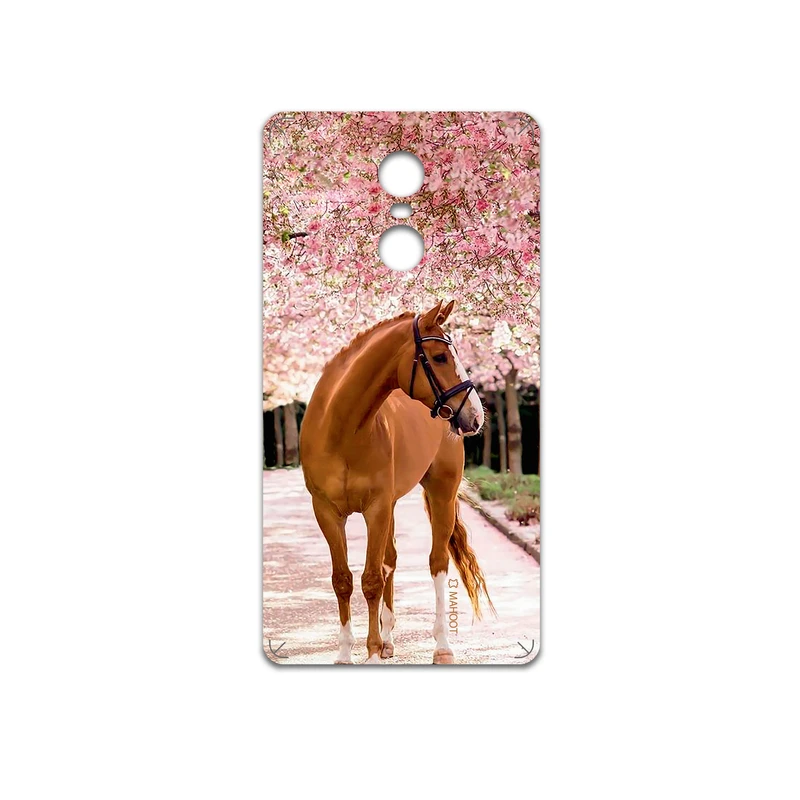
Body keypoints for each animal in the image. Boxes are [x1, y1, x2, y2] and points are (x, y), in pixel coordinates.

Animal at [299, 300, 494, 664]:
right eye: (440, 357)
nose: (475, 415)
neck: (341, 431)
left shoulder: (375, 508)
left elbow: (371, 579)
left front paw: (372, 652)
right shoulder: (327, 512)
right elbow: (343, 580)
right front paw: (347, 653)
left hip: (441, 494)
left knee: (437, 562)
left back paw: (441, 647)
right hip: (390, 505)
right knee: (390, 560)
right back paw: (389, 640)